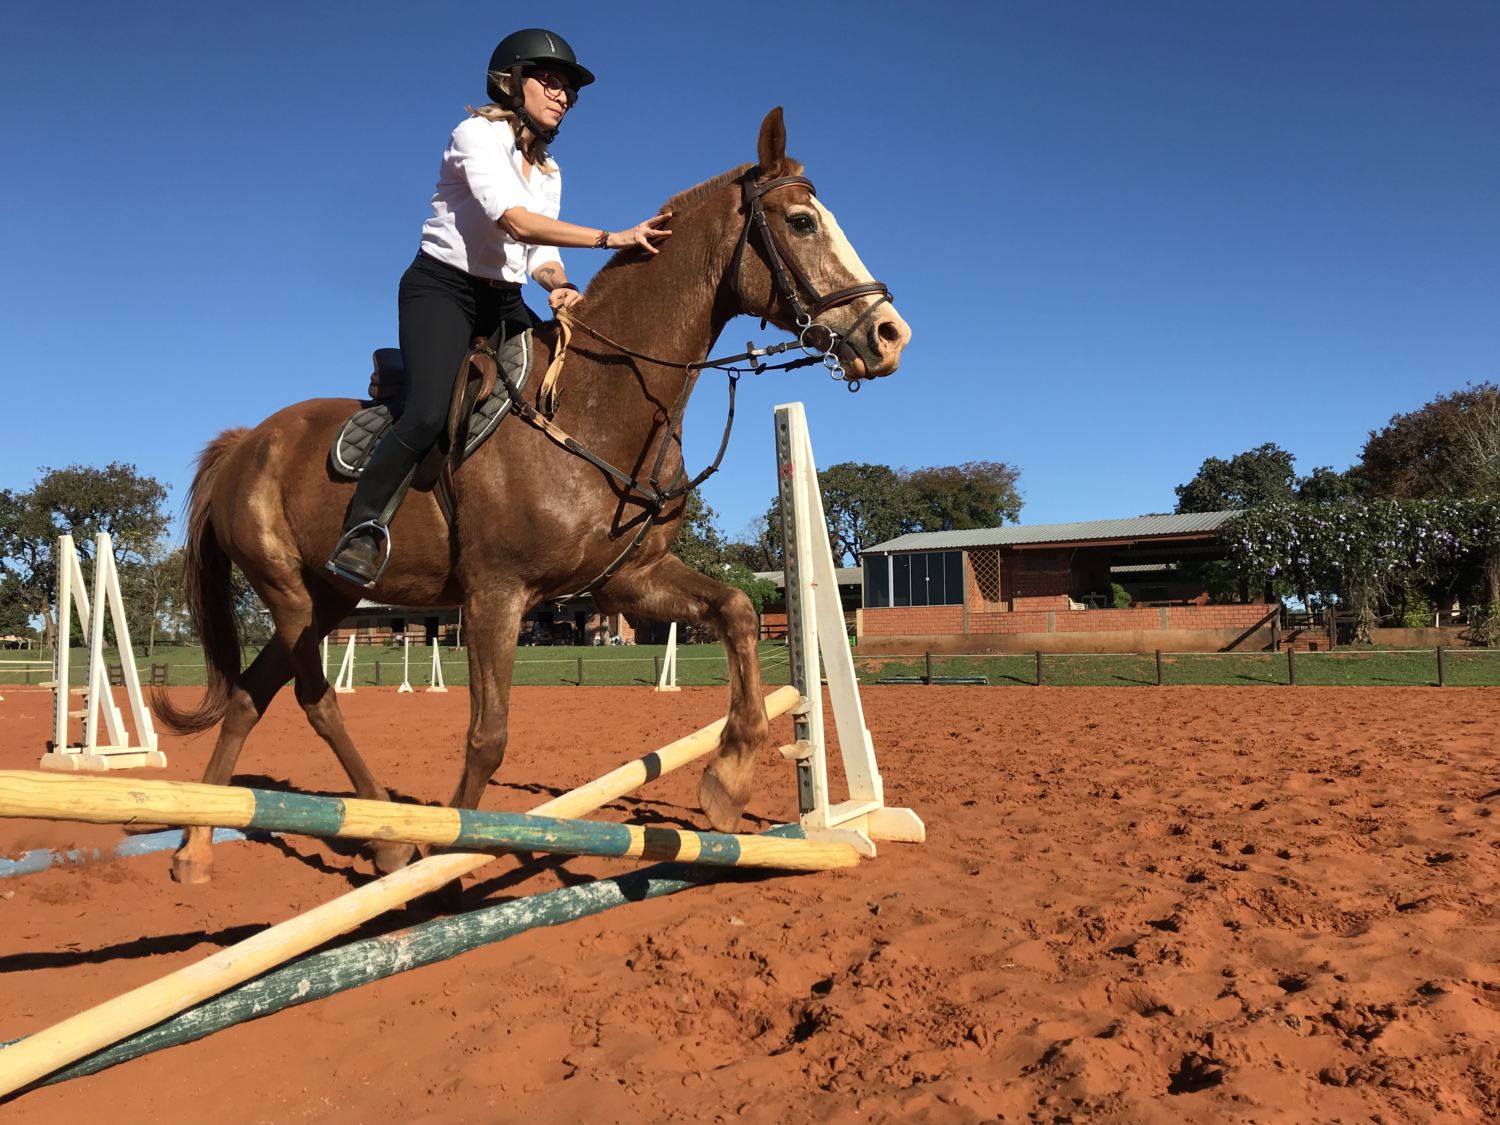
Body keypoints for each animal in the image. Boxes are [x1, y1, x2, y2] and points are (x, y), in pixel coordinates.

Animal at [164, 112, 912, 888]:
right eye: (801, 221)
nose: (891, 335)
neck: (595, 400)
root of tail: (245, 443)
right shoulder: (495, 593)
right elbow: (487, 736)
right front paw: (450, 853)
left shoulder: (628, 579)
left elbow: (736, 610)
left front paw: (727, 781)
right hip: (292, 596)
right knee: (315, 700)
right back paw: (391, 843)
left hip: (329, 599)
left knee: (250, 696)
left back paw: (207, 849)